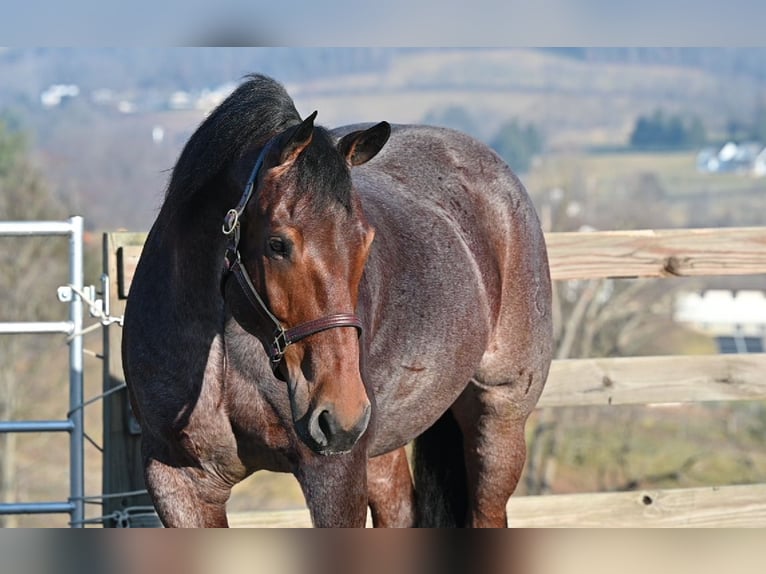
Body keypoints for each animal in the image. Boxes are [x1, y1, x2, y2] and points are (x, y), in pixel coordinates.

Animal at [122, 74, 552, 528]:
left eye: (366, 240)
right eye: (277, 244)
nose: (340, 414)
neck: (223, 353)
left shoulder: (335, 475)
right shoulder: (181, 484)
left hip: (498, 418)